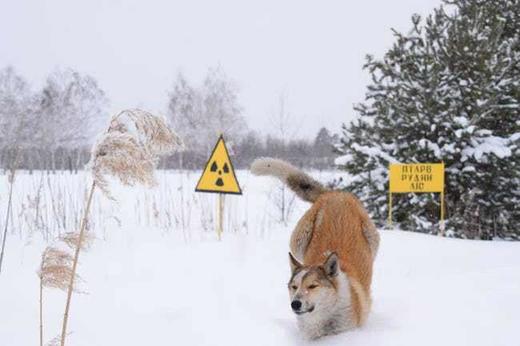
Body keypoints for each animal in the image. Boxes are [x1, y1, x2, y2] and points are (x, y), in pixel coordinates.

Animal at [250, 158, 380, 340]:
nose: (295, 304)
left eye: (312, 286)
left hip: (373, 241)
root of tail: (334, 193)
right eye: (294, 287)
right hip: (297, 243)